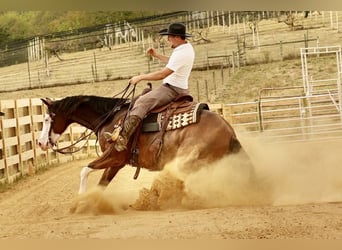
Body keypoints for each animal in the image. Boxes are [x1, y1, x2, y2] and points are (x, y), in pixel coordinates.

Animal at [38, 91, 254, 198]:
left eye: (48, 118)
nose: (40, 143)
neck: (111, 118)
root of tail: (229, 130)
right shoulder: (116, 162)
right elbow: (102, 183)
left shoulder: (114, 155)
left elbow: (85, 170)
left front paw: (80, 199)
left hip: (191, 160)